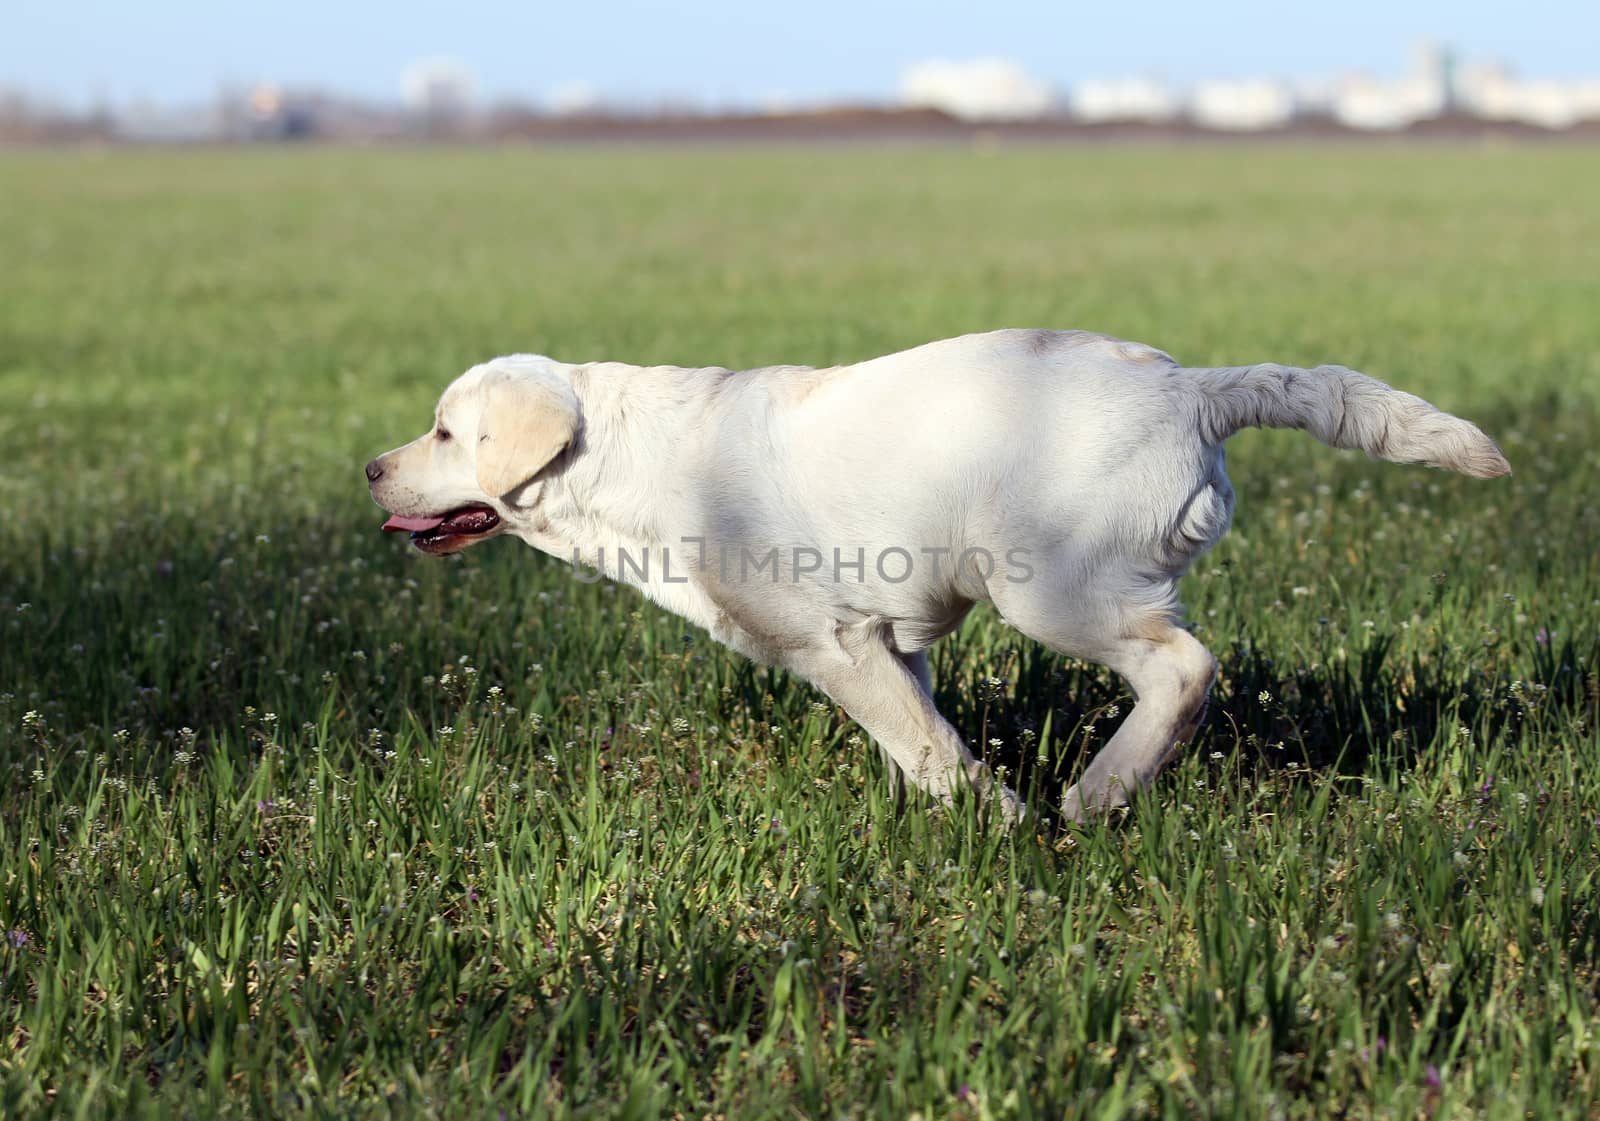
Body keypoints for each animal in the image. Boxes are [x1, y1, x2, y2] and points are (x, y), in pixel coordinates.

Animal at [366, 329, 1510, 825]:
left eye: (445, 431)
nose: (371, 468)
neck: (628, 462)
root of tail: (1193, 388)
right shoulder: (889, 643)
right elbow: (919, 737)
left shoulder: (836, 640)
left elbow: (924, 748)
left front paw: (991, 821)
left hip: (1050, 587)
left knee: (1184, 667)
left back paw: (1097, 792)